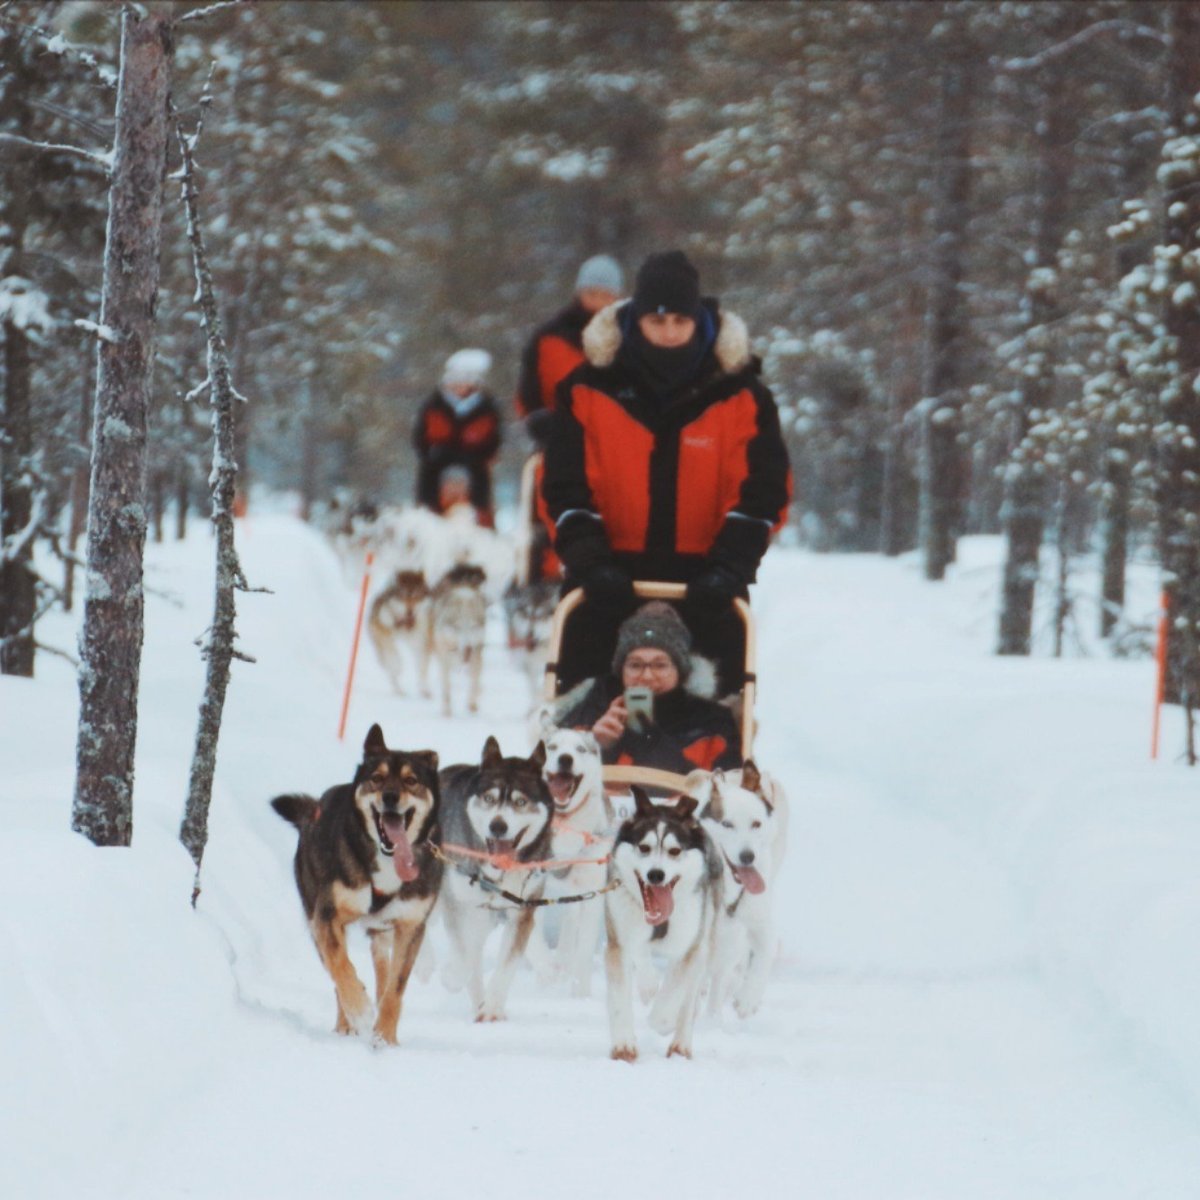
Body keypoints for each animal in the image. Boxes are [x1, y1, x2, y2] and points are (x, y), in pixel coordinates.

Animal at [270, 724, 444, 1046]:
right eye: (377, 778)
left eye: (411, 781)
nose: (390, 797)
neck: (388, 861)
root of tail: (313, 810)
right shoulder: (327, 917)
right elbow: (341, 966)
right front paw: (359, 1010)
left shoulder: (411, 926)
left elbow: (395, 987)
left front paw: (385, 1037)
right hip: (316, 920)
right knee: (335, 969)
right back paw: (346, 1022)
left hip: (383, 933)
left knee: (382, 971)